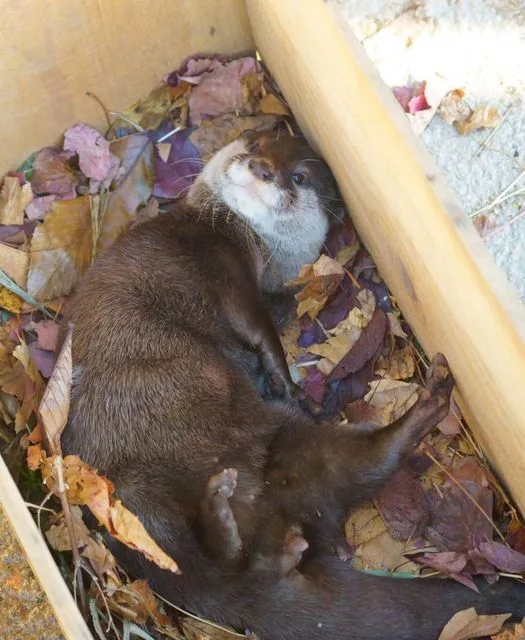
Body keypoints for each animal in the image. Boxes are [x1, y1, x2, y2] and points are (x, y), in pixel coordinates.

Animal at [61, 131, 525, 639]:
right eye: (252, 145)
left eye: (298, 176)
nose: (263, 168)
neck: (237, 239)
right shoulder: (222, 268)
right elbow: (256, 327)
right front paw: (285, 382)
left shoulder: (244, 279)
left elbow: (262, 328)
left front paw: (285, 385)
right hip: (129, 500)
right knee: (193, 560)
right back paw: (223, 518)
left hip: (303, 454)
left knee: (361, 467)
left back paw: (432, 400)